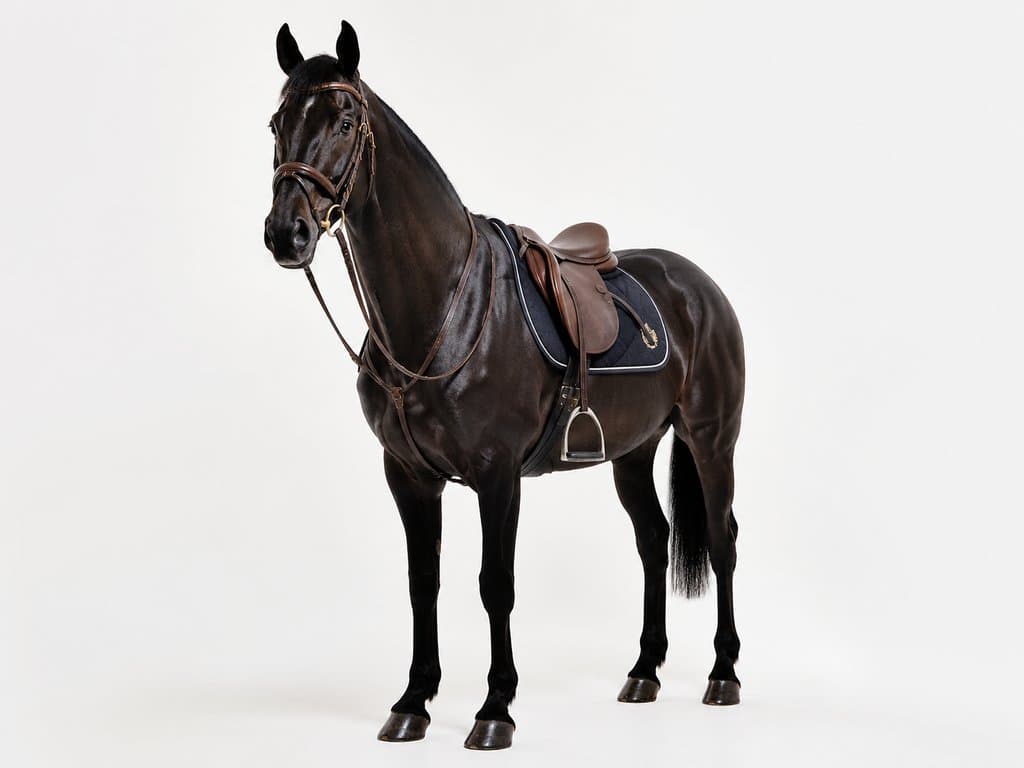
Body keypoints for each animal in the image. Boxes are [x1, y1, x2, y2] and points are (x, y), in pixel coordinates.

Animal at [262, 20, 745, 751]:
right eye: (277, 122)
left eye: (344, 120)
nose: (284, 233)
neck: (441, 308)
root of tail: (702, 287)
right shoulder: (408, 474)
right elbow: (422, 581)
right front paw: (413, 702)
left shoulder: (497, 475)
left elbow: (496, 585)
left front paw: (495, 710)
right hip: (633, 453)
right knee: (654, 540)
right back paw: (643, 673)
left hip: (711, 442)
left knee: (720, 541)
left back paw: (722, 675)